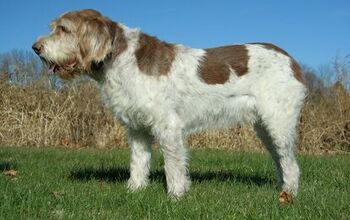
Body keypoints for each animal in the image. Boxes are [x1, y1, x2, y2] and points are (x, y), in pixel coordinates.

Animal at [32, 9, 306, 203]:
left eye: (64, 29)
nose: (36, 48)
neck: (120, 59)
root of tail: (291, 60)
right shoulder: (137, 128)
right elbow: (139, 162)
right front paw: (134, 190)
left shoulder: (168, 127)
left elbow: (173, 165)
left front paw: (176, 196)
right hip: (266, 127)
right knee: (281, 160)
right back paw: (282, 191)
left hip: (278, 123)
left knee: (291, 164)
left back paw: (289, 196)